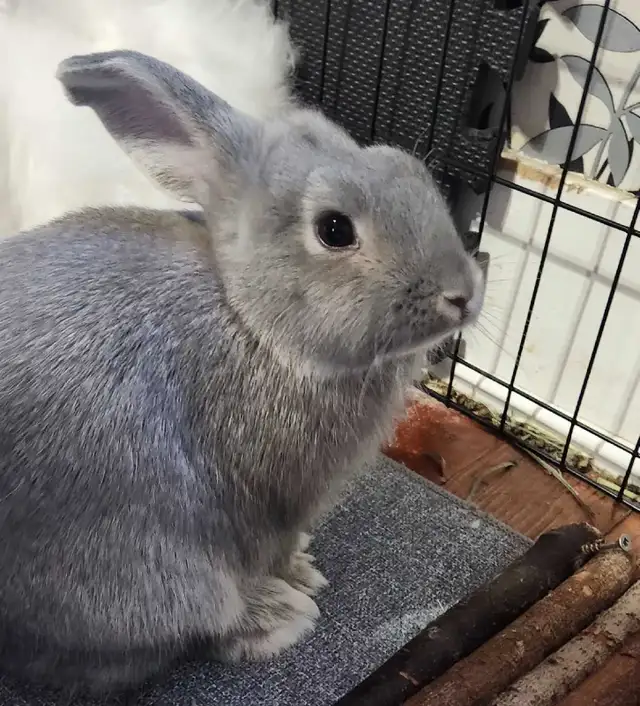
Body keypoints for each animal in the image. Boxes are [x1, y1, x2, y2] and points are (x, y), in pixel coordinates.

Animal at [0, 49, 486, 697]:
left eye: (409, 171)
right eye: (334, 230)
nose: (463, 295)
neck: (249, 318)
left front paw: (305, 567)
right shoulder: (268, 500)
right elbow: (264, 550)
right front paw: (296, 582)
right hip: (150, 575)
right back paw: (276, 618)